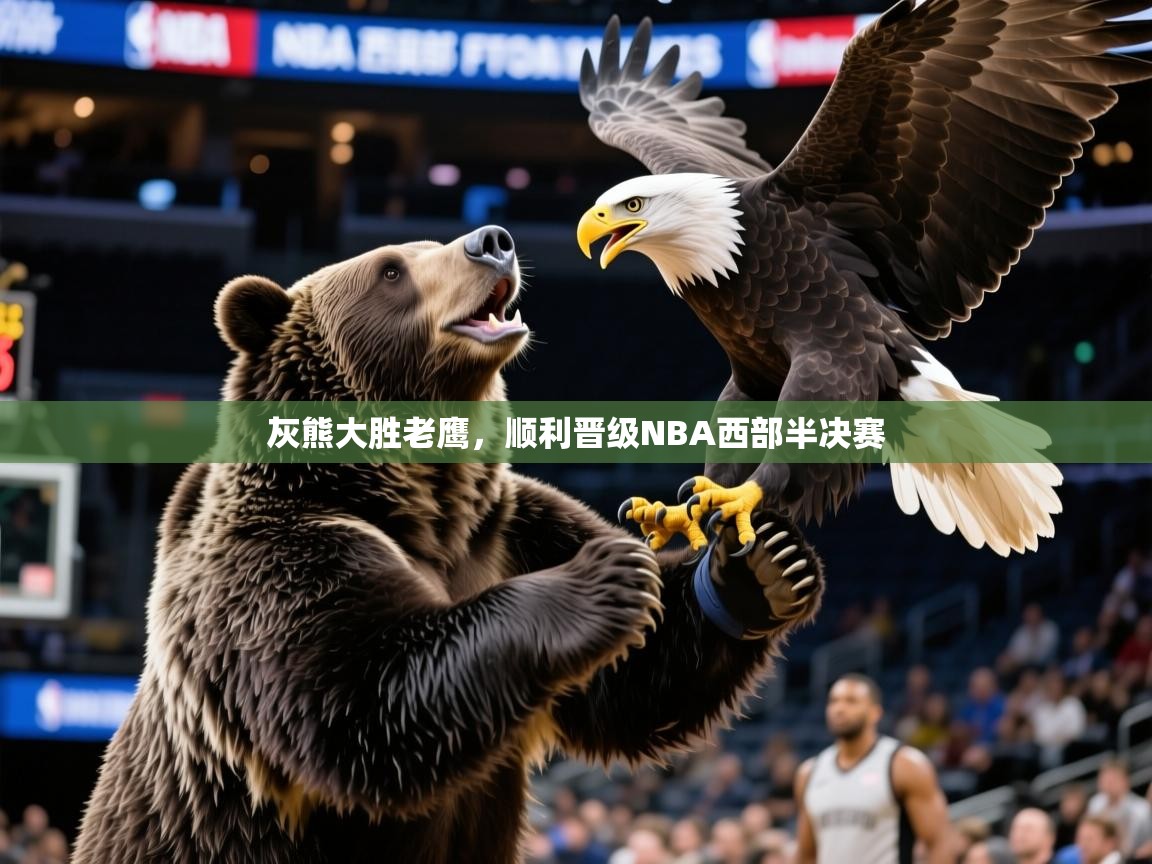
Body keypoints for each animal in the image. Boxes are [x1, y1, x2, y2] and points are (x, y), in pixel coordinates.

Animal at [73, 225, 824, 864]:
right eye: (391, 269)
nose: (493, 241)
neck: (412, 502)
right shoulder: (278, 554)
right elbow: (360, 696)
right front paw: (604, 576)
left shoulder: (505, 524)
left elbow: (634, 685)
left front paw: (765, 567)